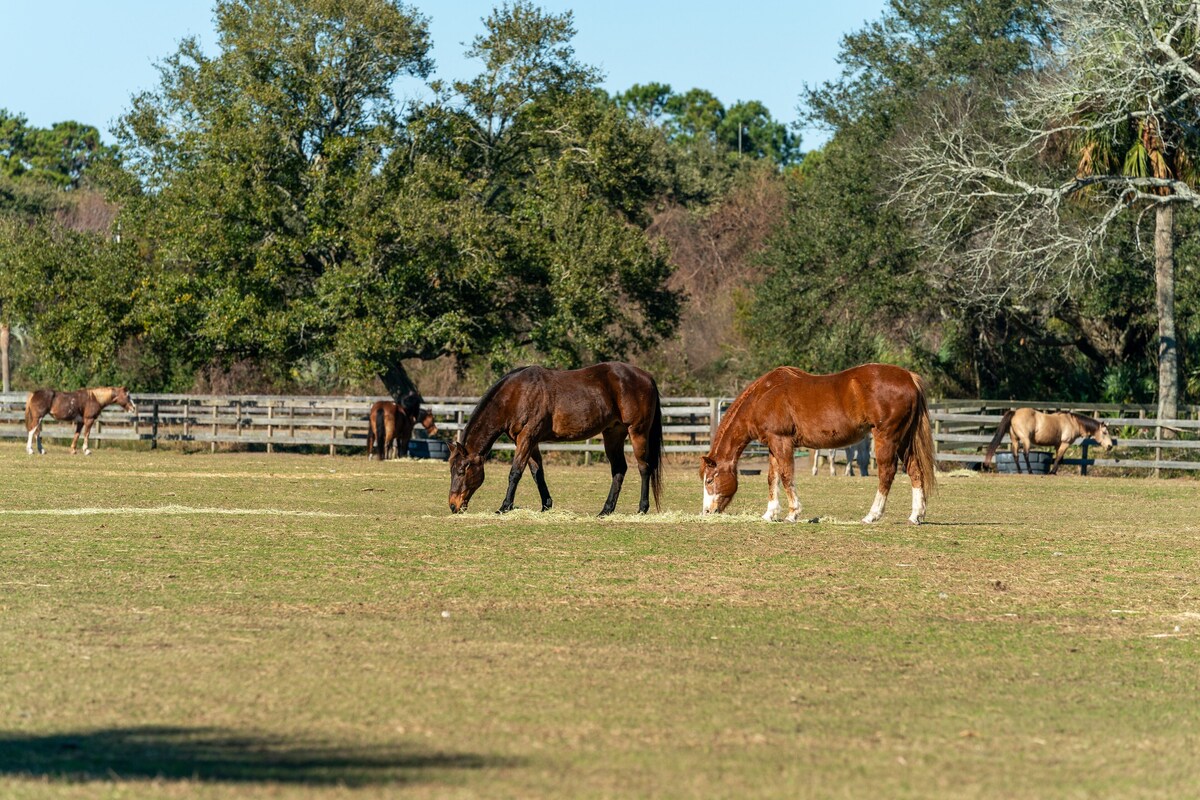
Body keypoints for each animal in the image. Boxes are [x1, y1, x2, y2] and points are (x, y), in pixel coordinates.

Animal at [448, 362, 667, 513]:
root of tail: (646, 376)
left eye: (461, 471)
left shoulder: (527, 438)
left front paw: (505, 506)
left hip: (637, 432)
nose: (453, 505)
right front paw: (546, 505)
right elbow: (537, 474)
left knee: (644, 468)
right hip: (613, 434)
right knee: (619, 469)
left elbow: (515, 472)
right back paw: (606, 510)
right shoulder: (530, 442)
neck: (517, 394)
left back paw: (642, 508)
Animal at [700, 364, 940, 525]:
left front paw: (793, 513)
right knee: (915, 471)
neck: (764, 396)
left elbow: (786, 477)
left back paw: (872, 515)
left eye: (710, 480)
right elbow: (772, 478)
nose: (707, 512)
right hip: (904, 441)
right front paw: (770, 513)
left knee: (886, 474)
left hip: (887, 438)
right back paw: (916, 515)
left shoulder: (781, 441)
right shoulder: (772, 445)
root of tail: (908, 377)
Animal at [984, 407, 1113, 474]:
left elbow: (1059, 459)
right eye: (1105, 433)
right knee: (1025, 454)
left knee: (1015, 455)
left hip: (1015, 440)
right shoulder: (1065, 443)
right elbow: (1059, 458)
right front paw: (1052, 472)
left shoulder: (1058, 444)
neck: (1072, 422)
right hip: (1025, 440)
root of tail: (1015, 412)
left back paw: (1020, 471)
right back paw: (1030, 471)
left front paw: (1054, 471)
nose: (1110, 446)